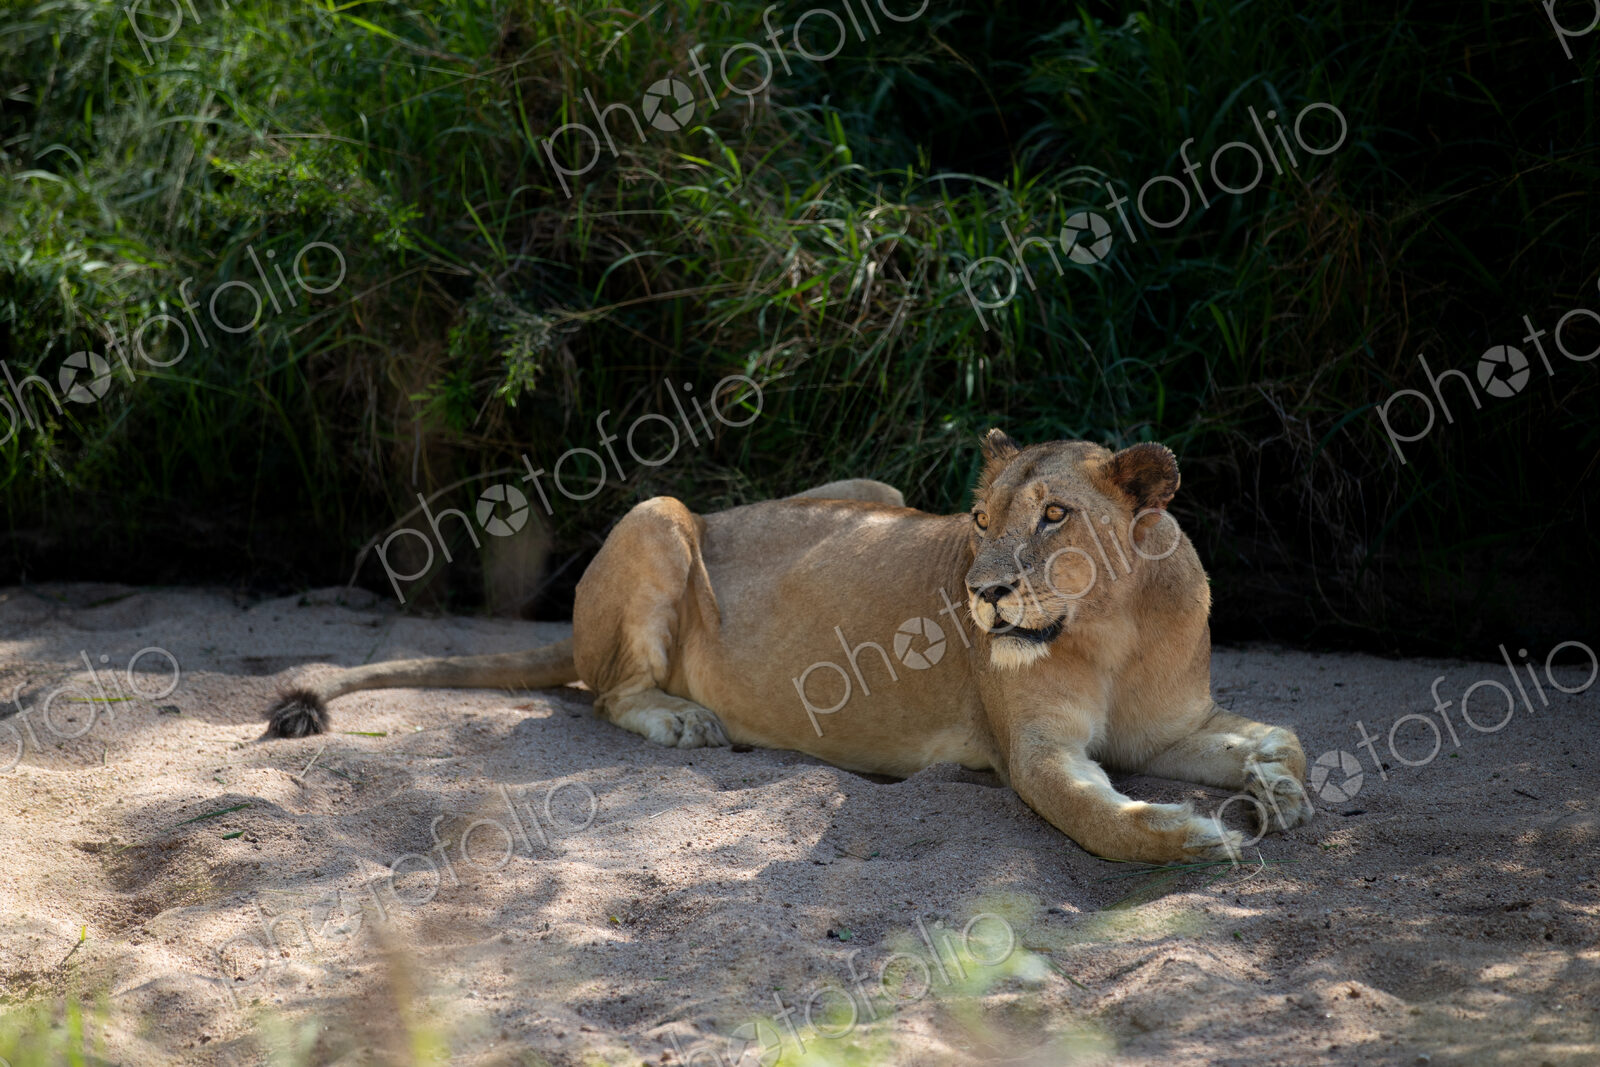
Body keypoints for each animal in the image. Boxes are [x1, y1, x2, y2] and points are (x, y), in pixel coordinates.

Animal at [264, 430, 1312, 863]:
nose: (982, 593)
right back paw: (685, 721)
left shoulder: (1173, 726)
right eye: (980, 520)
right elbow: (1099, 816)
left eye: (1055, 516)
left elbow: (1281, 735)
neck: (1115, 628)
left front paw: (1282, 790)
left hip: (875, 493)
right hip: (659, 515)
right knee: (605, 690)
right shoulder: (1034, 752)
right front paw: (1190, 836)